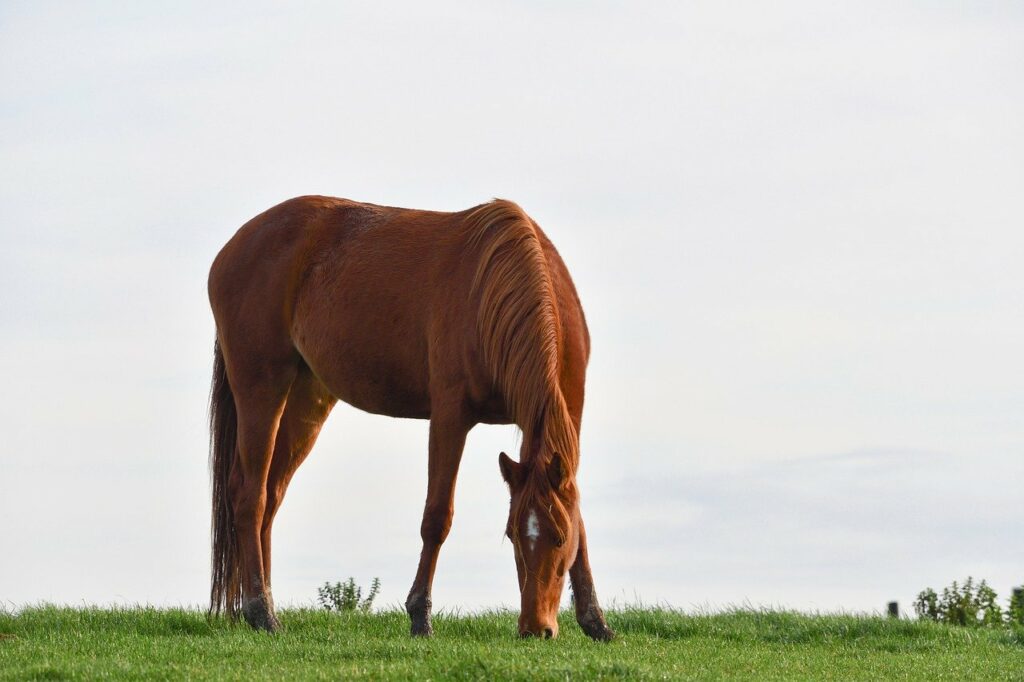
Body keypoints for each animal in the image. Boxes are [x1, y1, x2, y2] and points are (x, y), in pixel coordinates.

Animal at [203, 195, 610, 638]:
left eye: (558, 538)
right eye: (513, 535)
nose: (536, 628)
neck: (498, 288)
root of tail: (232, 248)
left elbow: (580, 518)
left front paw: (595, 620)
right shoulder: (450, 417)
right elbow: (437, 517)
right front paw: (420, 615)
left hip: (306, 398)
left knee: (272, 494)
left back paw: (264, 603)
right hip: (261, 387)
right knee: (251, 495)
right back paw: (260, 610)